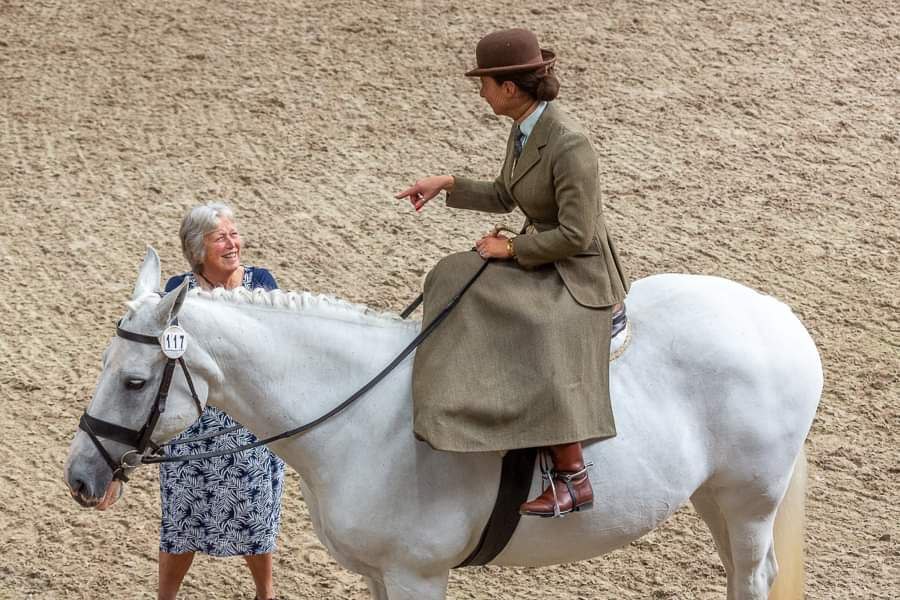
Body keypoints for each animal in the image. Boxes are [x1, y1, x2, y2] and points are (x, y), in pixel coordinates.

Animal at [63, 246, 824, 596]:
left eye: (135, 381)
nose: (79, 476)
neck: (360, 419)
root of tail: (778, 319)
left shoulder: (417, 574)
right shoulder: (379, 573)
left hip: (750, 499)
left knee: (752, 575)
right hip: (714, 498)